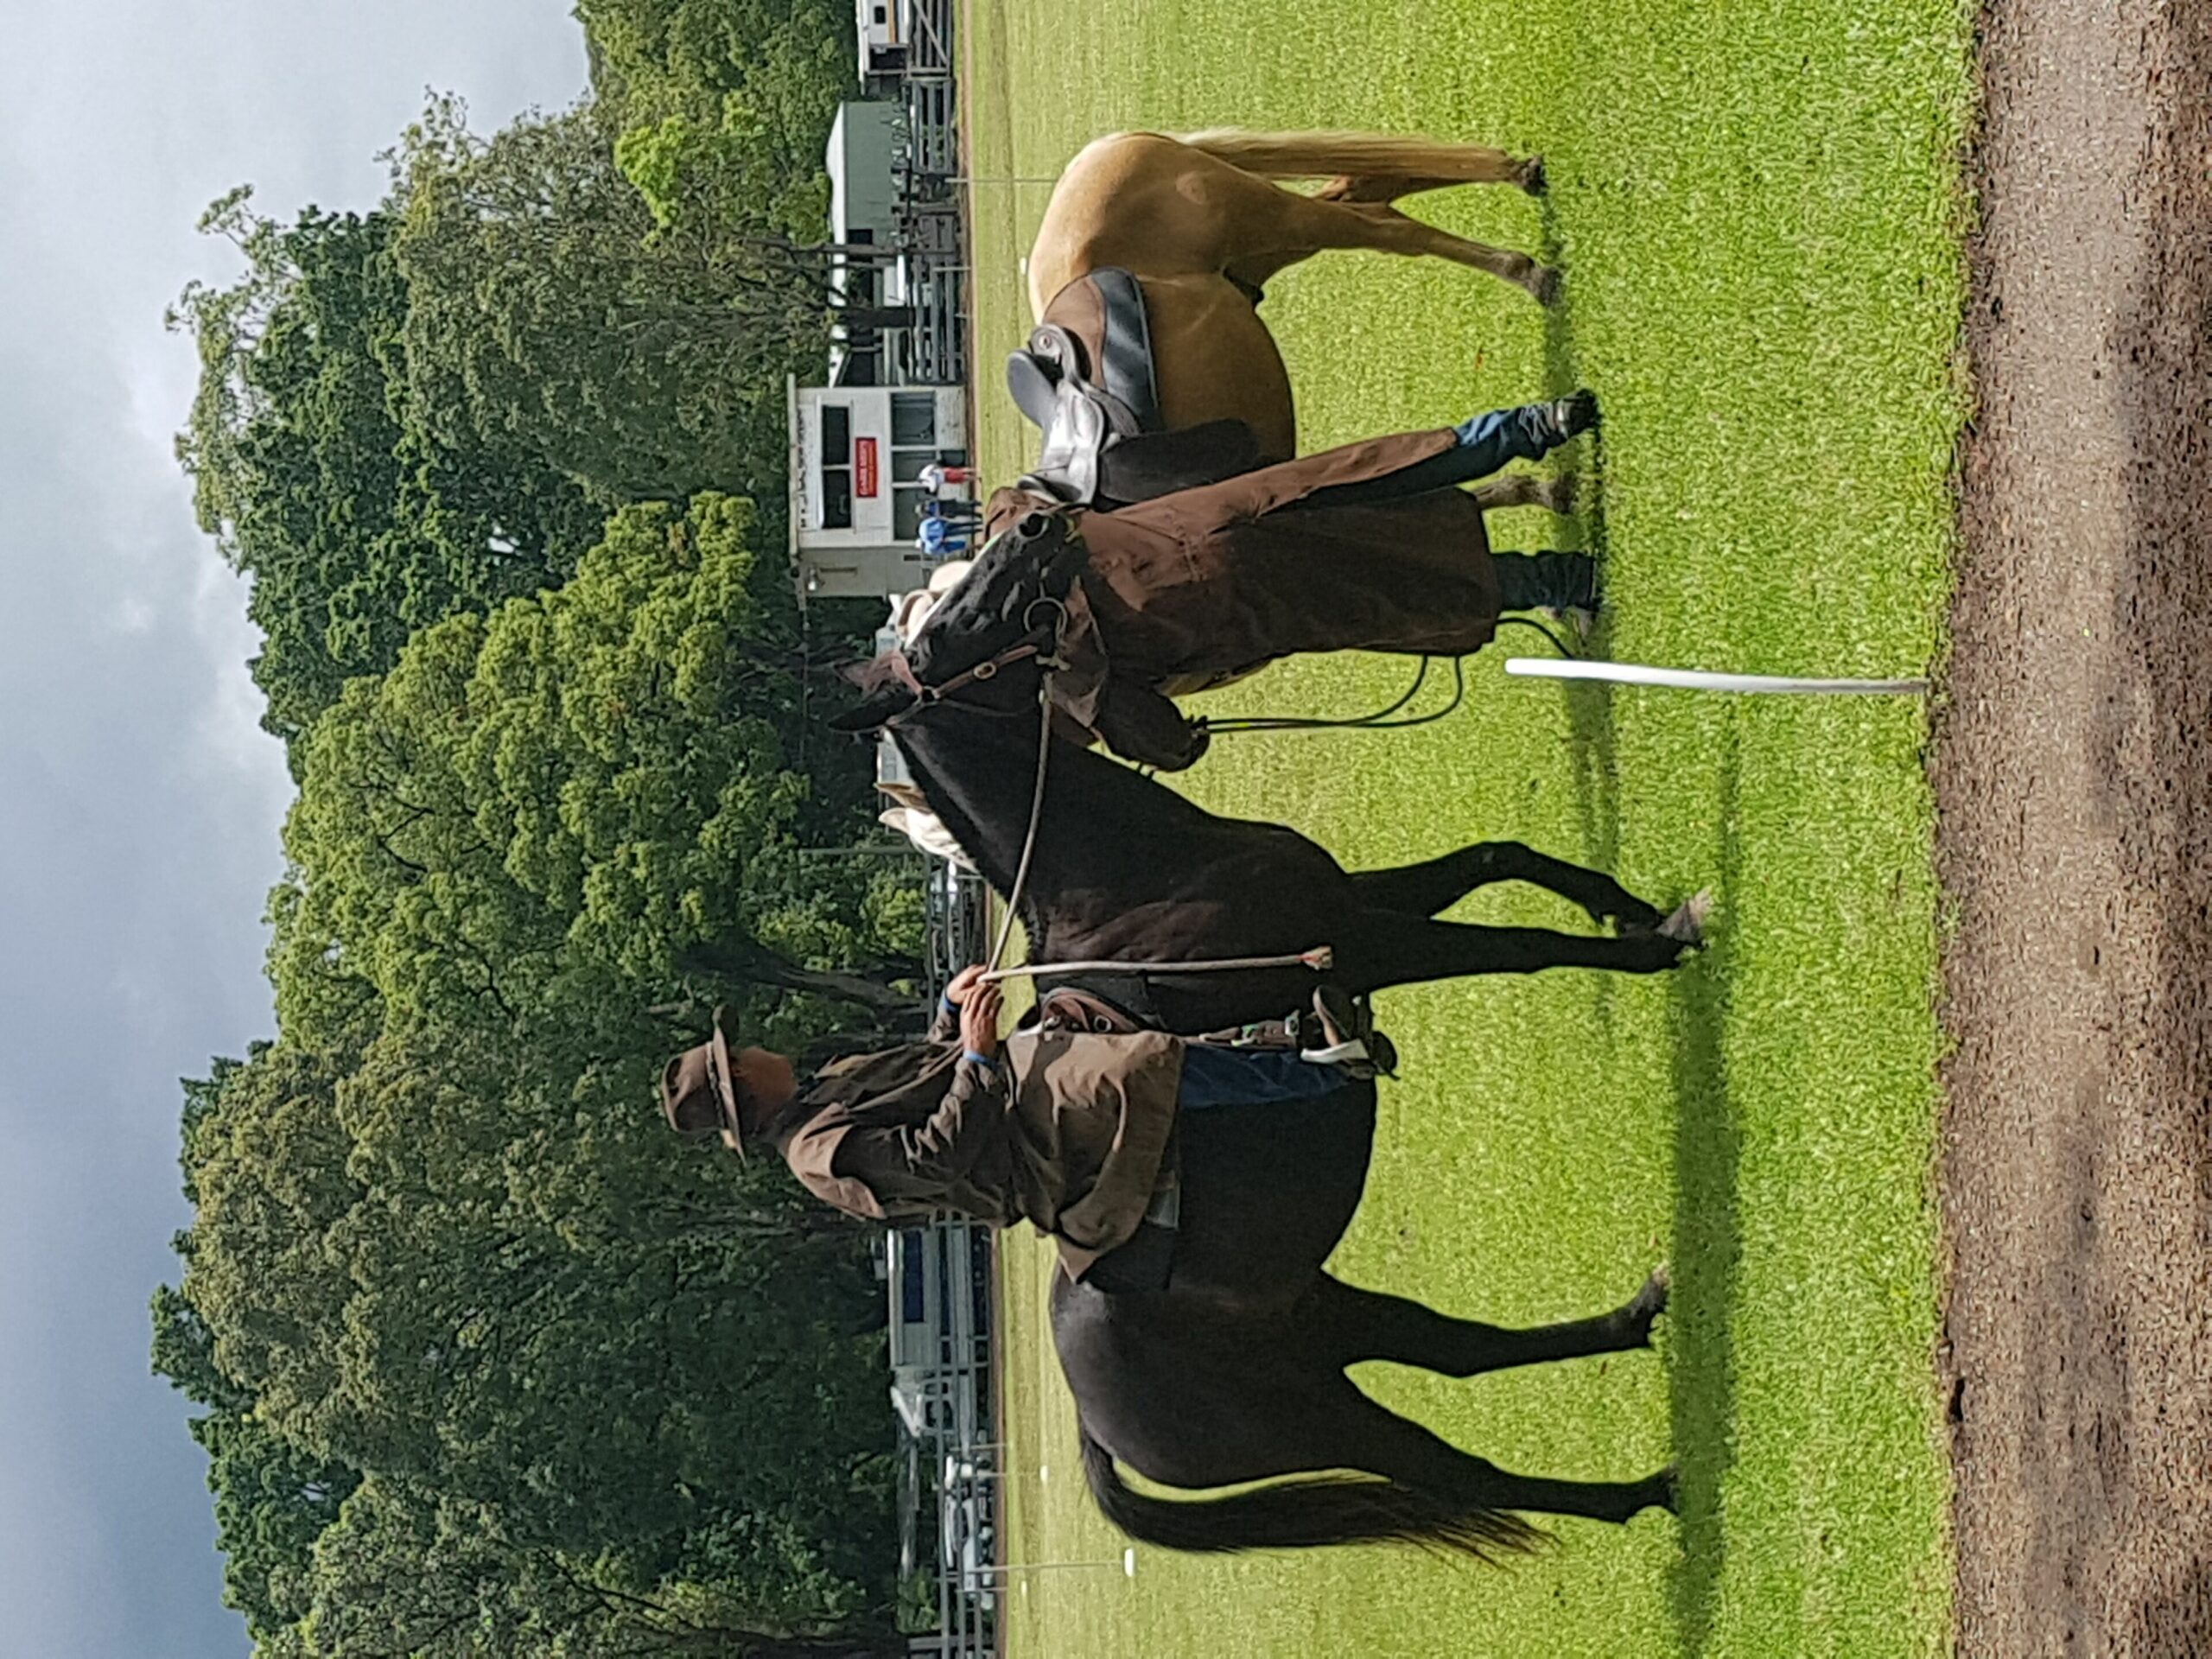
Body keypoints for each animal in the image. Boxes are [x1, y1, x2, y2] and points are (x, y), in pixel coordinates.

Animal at [1021, 125, 1557, 468]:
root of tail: (1100, 151)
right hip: (1260, 249)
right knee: (1364, 187)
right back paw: (1520, 179)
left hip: (1268, 217)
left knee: (1385, 226)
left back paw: (1528, 265)